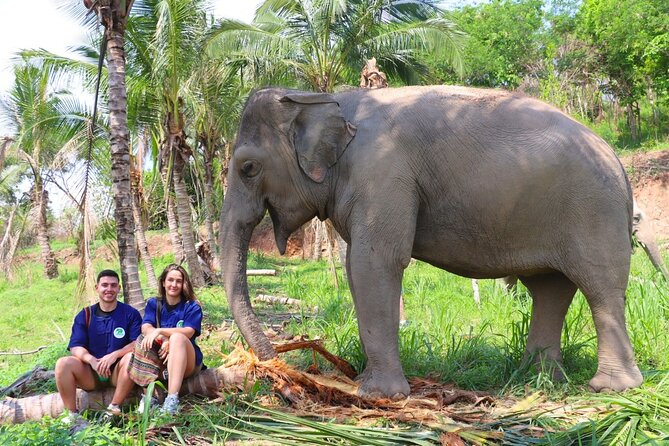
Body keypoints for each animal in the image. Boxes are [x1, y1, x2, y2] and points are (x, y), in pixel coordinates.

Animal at [219, 85, 643, 399]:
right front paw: (365, 383)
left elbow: (375, 262)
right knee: (550, 288)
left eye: (248, 168)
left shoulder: (383, 173)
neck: (324, 97)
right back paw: (537, 379)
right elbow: (356, 268)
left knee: (600, 287)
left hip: (593, 212)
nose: (275, 364)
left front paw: (380, 394)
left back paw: (611, 388)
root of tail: (618, 162)